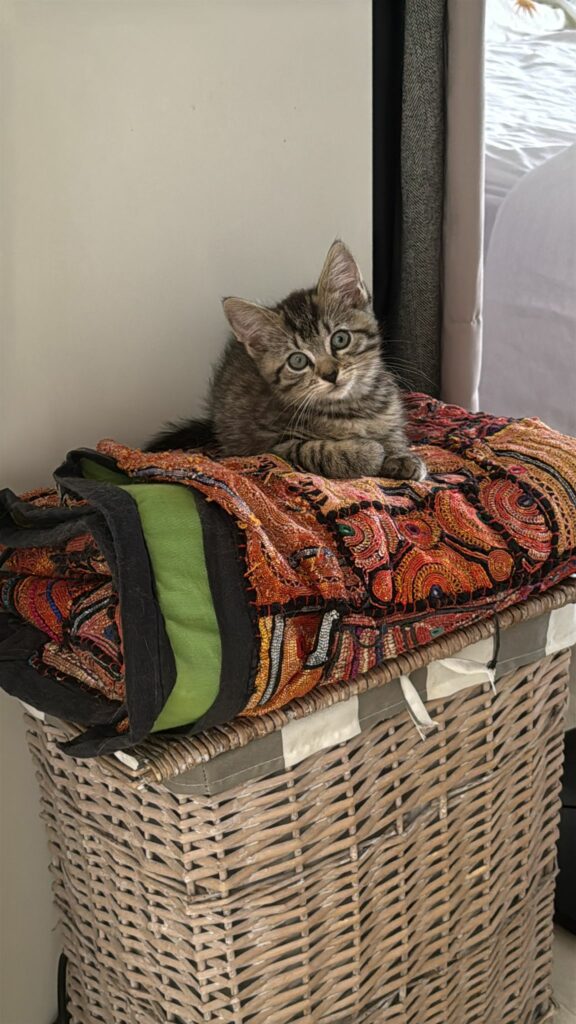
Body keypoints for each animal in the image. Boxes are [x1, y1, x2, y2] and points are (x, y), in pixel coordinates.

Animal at [147, 241, 426, 482]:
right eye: (298, 361)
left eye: (340, 339)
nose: (331, 374)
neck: (353, 405)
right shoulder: (269, 444)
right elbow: (317, 450)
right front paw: (367, 452)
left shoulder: (390, 412)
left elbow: (392, 432)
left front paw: (400, 455)